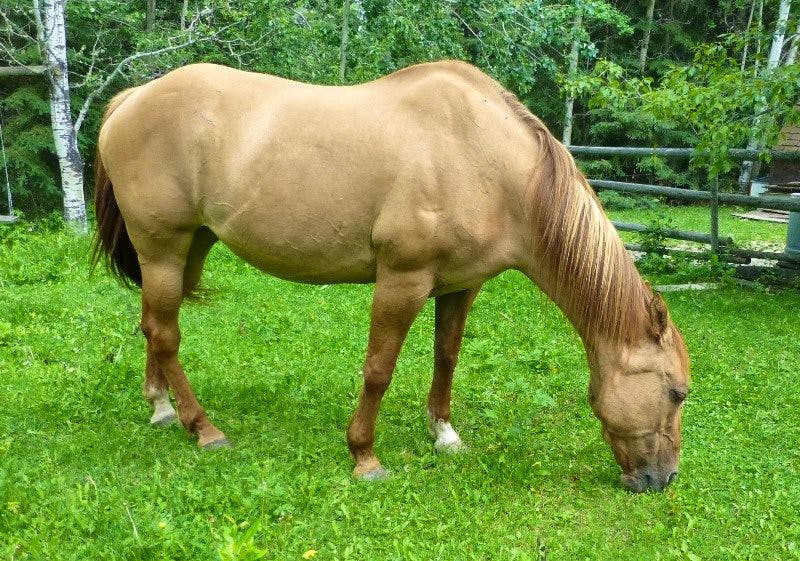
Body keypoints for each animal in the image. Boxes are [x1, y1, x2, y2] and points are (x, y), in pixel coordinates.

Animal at [92, 60, 690, 492]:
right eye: (677, 392)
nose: (661, 480)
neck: (485, 160)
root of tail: (132, 99)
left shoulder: (460, 285)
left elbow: (447, 355)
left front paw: (443, 434)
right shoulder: (403, 279)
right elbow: (379, 369)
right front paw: (364, 456)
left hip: (187, 248)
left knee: (154, 325)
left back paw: (161, 408)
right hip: (163, 247)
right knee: (166, 334)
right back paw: (203, 428)